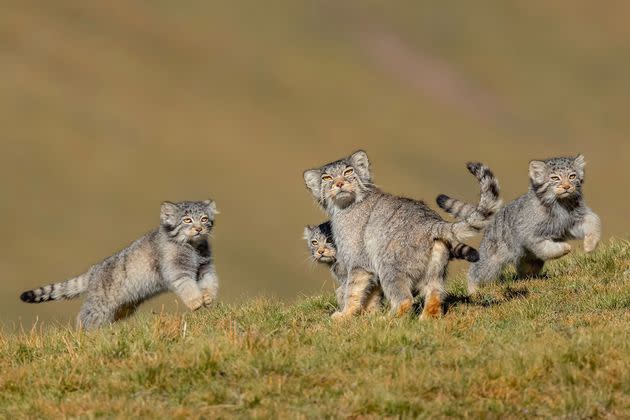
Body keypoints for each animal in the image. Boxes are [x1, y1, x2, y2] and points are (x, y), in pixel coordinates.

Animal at [19, 199, 221, 330]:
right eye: (187, 220)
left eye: (204, 219)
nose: (199, 229)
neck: (193, 248)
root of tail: (93, 271)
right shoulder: (177, 270)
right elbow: (187, 286)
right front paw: (196, 302)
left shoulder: (205, 268)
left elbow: (210, 282)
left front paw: (208, 297)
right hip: (100, 305)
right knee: (84, 318)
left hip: (122, 306)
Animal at [304, 151, 502, 318]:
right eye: (326, 178)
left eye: (348, 171)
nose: (339, 183)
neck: (345, 207)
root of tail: (431, 222)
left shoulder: (359, 262)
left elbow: (352, 291)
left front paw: (345, 316)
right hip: (434, 271)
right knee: (435, 295)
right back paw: (425, 320)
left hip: (389, 266)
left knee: (405, 300)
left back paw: (385, 321)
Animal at [440, 153, 604, 294]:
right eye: (555, 178)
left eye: (572, 176)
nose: (567, 187)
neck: (560, 205)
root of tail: (493, 219)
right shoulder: (530, 235)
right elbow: (547, 248)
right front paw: (564, 248)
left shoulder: (574, 220)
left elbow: (594, 221)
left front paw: (589, 245)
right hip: (491, 261)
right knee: (476, 272)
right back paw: (473, 290)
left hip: (528, 261)